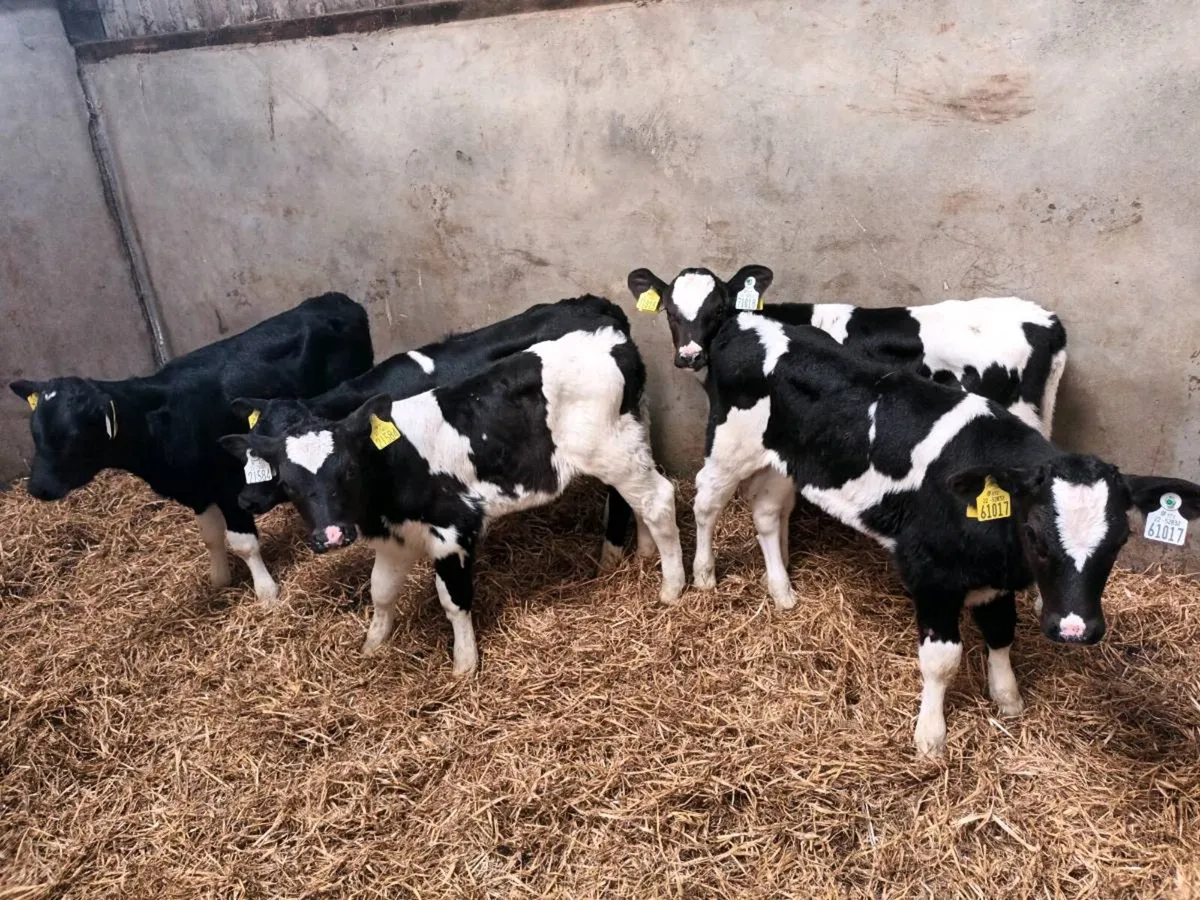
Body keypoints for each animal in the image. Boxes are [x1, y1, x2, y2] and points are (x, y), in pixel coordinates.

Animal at [9, 292, 373, 604]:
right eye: (35, 430)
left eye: (73, 434)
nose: (38, 487)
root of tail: (333, 299)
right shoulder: (196, 490)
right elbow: (210, 537)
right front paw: (219, 579)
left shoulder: (230, 485)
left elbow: (242, 543)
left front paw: (266, 592)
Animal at [691, 311, 1200, 754]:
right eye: (1035, 534)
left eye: (1120, 541)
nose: (1074, 629)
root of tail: (747, 321)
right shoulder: (931, 574)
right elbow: (941, 661)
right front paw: (930, 734)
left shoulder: (995, 579)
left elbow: (1001, 633)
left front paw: (1007, 697)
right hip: (727, 446)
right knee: (705, 503)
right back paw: (702, 576)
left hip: (783, 460)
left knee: (766, 512)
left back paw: (781, 591)